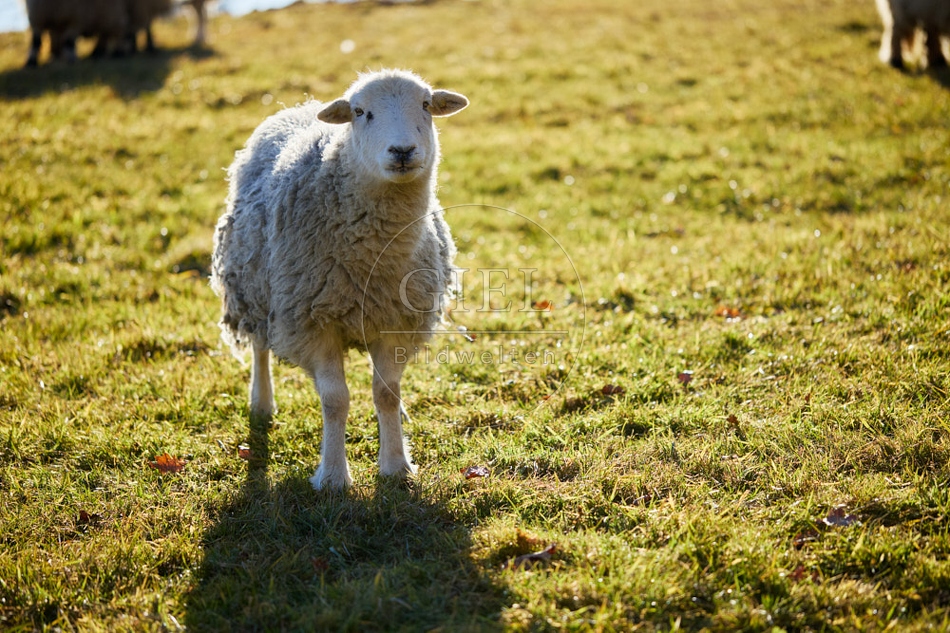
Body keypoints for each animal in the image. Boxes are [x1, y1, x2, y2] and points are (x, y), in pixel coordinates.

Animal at [210, 70, 469, 491]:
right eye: (360, 112)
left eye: (426, 105)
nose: (402, 151)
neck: (373, 259)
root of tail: (300, 107)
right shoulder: (315, 322)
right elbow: (335, 401)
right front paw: (332, 476)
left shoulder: (395, 321)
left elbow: (386, 395)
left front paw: (396, 465)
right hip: (254, 285)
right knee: (261, 347)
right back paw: (262, 403)